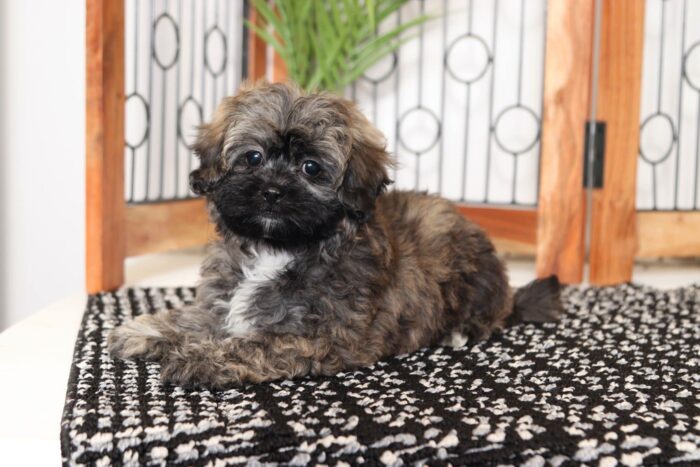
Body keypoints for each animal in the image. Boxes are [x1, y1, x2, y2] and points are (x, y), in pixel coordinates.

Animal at [106, 82, 560, 390]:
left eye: (311, 167)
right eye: (252, 157)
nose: (272, 191)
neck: (278, 249)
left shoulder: (319, 336)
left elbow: (255, 344)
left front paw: (201, 359)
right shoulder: (223, 298)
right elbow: (197, 316)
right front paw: (148, 329)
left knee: (490, 316)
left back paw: (460, 329)